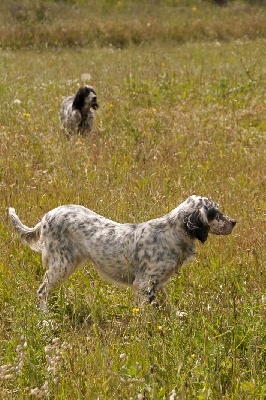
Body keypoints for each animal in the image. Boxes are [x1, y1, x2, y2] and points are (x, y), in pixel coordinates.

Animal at [8, 195, 237, 310]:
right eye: (214, 213)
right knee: (42, 292)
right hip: (62, 264)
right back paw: (46, 320)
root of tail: (46, 217)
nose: (234, 222)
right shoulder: (144, 285)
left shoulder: (158, 284)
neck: (173, 232)